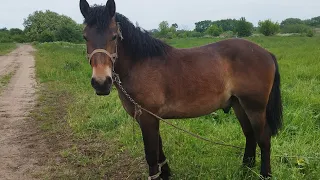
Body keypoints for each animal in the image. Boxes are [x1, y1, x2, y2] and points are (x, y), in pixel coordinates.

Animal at [79, 0, 282, 179]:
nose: (101, 82)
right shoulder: (150, 117)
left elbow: (151, 154)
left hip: (255, 107)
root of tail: (266, 53)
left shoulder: (148, 118)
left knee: (263, 138)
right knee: (250, 135)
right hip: (239, 105)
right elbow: (159, 149)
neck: (141, 64)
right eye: (85, 37)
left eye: (114, 36)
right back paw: (245, 170)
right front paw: (166, 174)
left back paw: (265, 174)